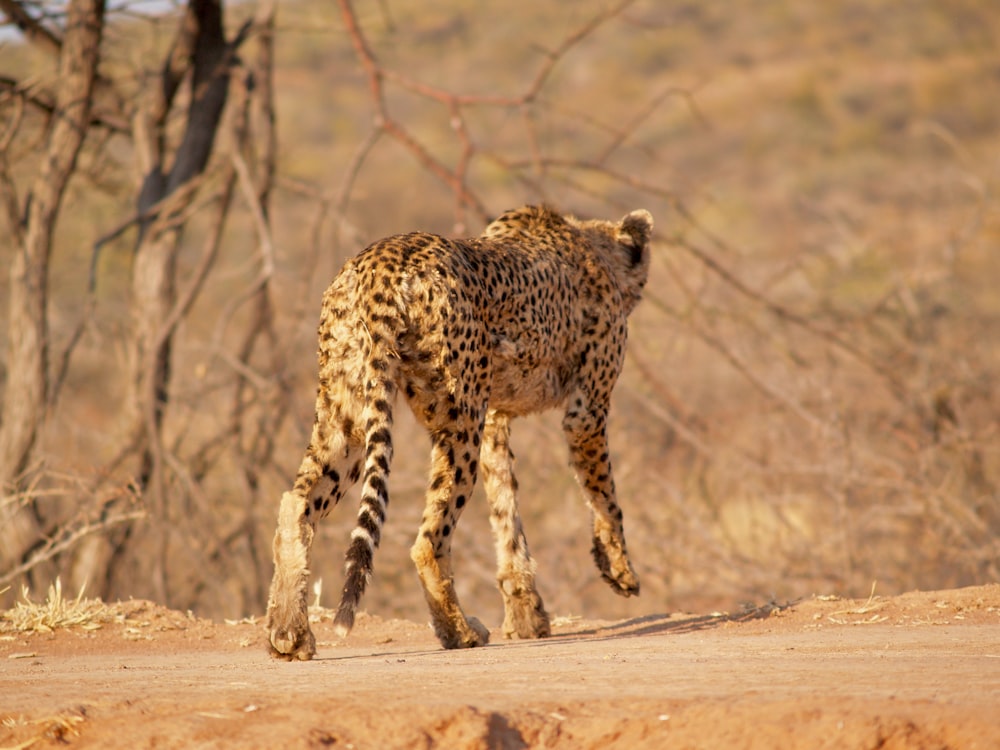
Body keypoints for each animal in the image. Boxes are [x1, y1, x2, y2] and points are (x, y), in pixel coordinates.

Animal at [270, 203, 652, 660]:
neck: (591, 243)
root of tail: (381, 258)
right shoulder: (586, 409)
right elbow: (604, 496)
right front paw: (619, 569)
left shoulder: (494, 420)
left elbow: (506, 512)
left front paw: (526, 614)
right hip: (457, 421)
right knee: (428, 539)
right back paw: (459, 631)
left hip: (348, 412)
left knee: (296, 503)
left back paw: (289, 633)